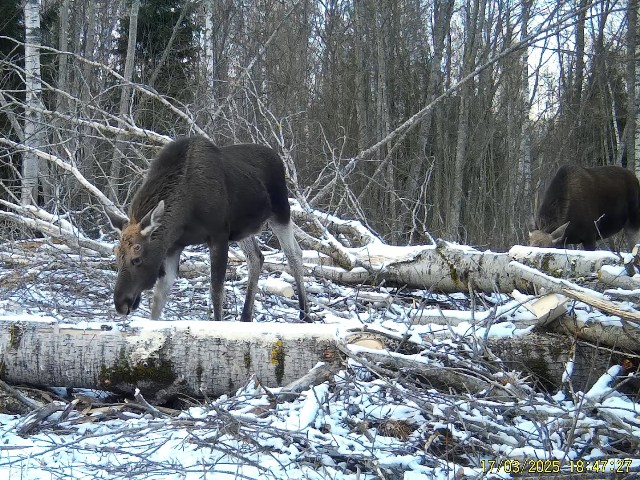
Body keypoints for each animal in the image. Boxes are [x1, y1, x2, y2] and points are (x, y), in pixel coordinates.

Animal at [106, 136, 309, 322]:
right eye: (116, 256)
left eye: (137, 259)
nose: (120, 303)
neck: (185, 213)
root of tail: (278, 157)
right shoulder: (173, 246)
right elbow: (159, 298)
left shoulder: (218, 235)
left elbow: (216, 291)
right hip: (243, 229)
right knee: (256, 258)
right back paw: (245, 317)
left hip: (281, 212)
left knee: (294, 254)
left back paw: (305, 315)